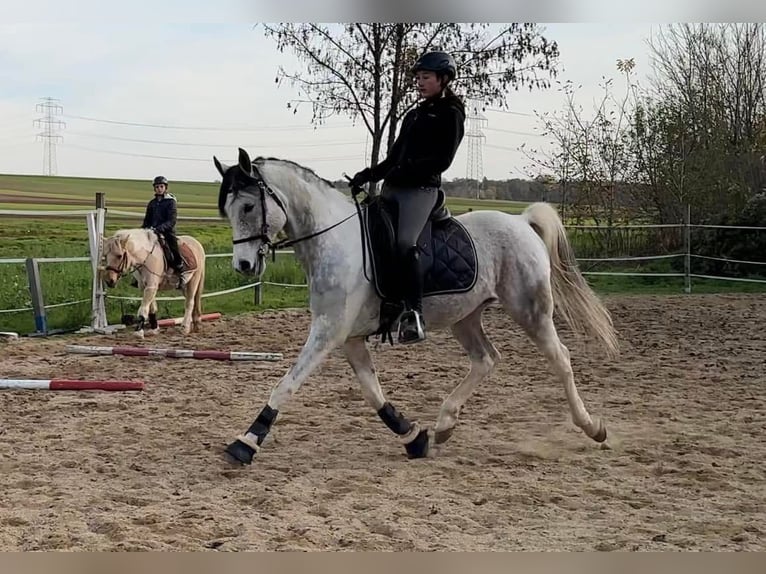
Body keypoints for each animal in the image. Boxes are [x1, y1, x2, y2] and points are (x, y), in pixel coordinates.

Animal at [213, 148, 619, 465]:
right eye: (228, 211)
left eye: (247, 206)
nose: (243, 266)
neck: (335, 239)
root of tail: (520, 221)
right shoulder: (350, 338)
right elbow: (372, 391)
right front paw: (413, 437)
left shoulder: (328, 332)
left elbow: (286, 385)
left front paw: (245, 443)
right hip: (465, 317)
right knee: (486, 359)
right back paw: (444, 424)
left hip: (529, 309)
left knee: (560, 358)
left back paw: (592, 427)